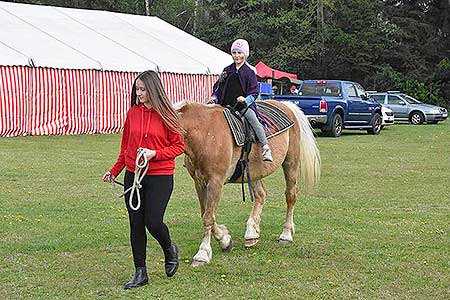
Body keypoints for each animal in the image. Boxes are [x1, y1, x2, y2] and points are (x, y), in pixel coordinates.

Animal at [176, 99, 320, 266]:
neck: (205, 132)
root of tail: (286, 105)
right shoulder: (199, 182)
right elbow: (205, 214)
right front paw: (225, 240)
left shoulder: (215, 182)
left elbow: (208, 217)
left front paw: (202, 254)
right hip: (254, 170)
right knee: (260, 195)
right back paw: (252, 234)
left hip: (291, 162)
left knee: (291, 195)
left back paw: (286, 234)